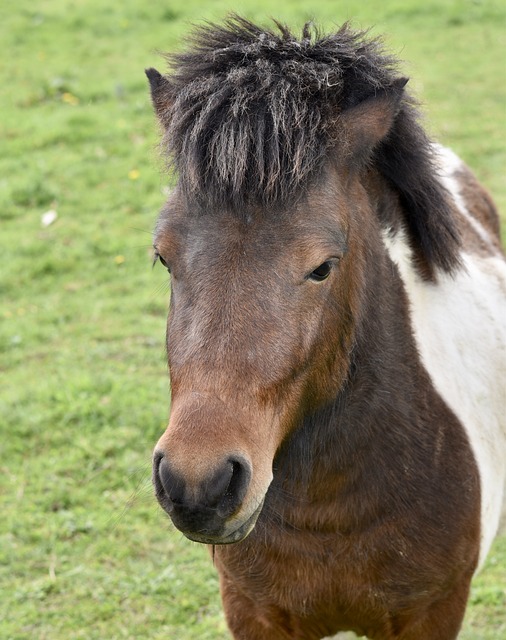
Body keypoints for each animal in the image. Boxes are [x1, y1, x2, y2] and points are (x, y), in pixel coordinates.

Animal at [145, 18, 506, 640]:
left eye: (322, 267)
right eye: (163, 257)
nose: (199, 482)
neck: (331, 508)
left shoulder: (433, 612)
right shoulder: (253, 610)